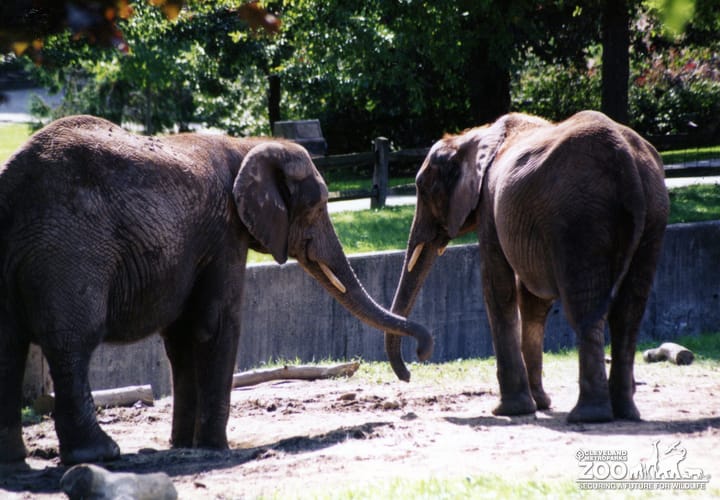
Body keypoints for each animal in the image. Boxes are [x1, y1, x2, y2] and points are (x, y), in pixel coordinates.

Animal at [0, 115, 432, 465]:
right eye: (318, 205)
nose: (417, 361)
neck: (246, 145)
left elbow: (180, 337)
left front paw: (182, 446)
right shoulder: (225, 231)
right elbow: (214, 325)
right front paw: (214, 448)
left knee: (10, 345)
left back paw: (15, 458)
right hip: (70, 249)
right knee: (72, 342)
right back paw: (99, 454)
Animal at [385, 110, 669, 423]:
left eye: (423, 188)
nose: (413, 367)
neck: (473, 136)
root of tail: (628, 162)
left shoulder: (489, 204)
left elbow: (497, 286)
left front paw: (510, 410)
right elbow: (532, 299)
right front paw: (540, 404)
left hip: (580, 218)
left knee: (585, 310)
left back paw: (588, 415)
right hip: (654, 213)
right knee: (628, 312)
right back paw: (624, 412)